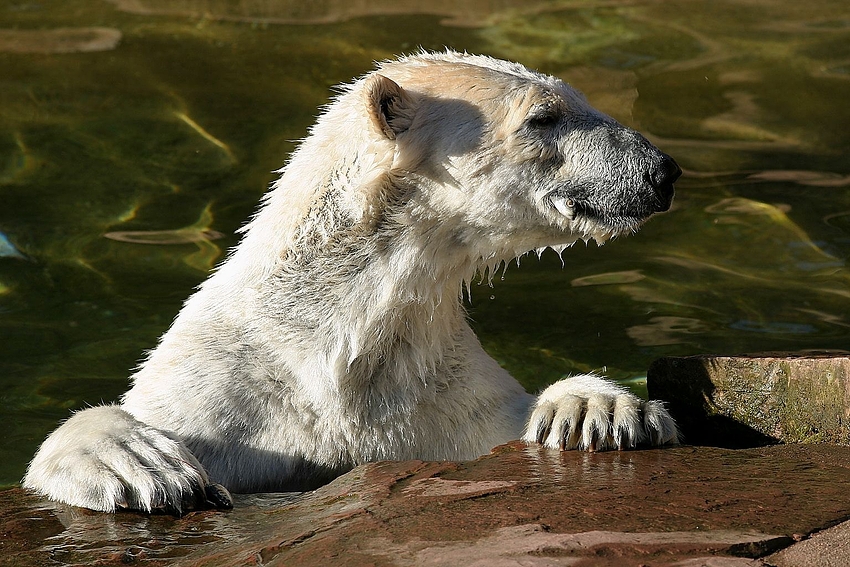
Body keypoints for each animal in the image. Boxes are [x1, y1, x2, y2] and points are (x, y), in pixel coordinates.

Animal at [21, 52, 684, 516]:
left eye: (580, 99)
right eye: (544, 117)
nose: (661, 171)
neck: (336, 338)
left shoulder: (434, 397)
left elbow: (506, 421)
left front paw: (597, 409)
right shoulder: (229, 394)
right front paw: (136, 466)